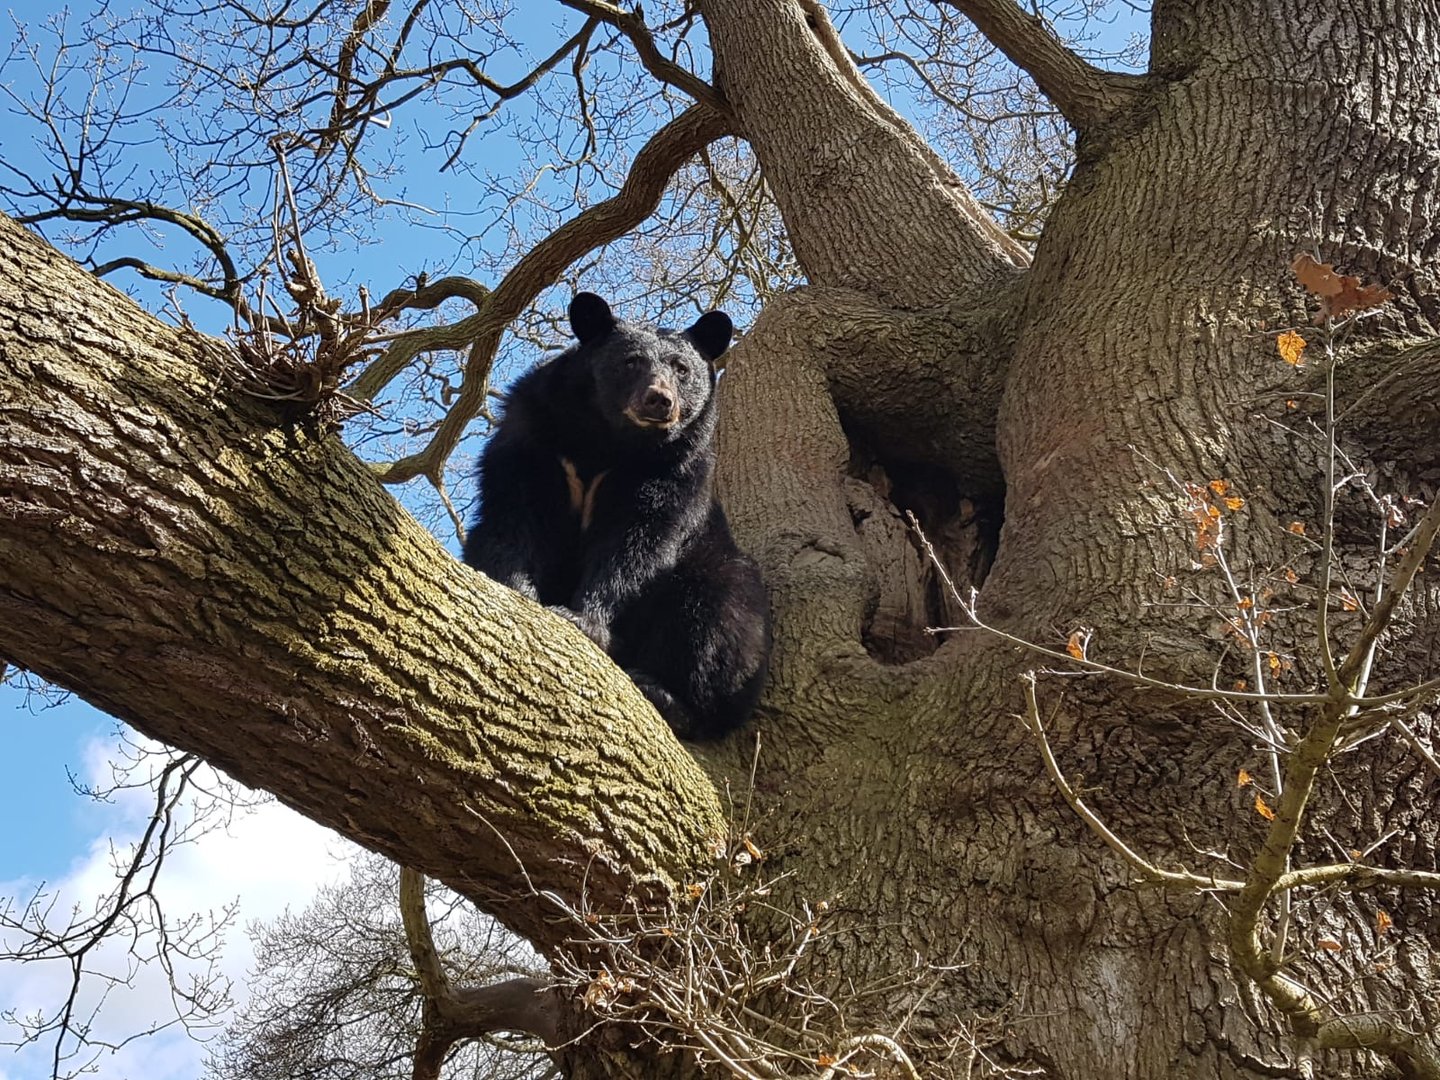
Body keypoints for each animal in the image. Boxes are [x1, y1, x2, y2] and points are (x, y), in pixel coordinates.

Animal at [463, 292, 771, 741]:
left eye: (681, 370)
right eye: (631, 362)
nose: (660, 400)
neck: (610, 441)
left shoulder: (674, 471)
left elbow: (635, 545)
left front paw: (581, 619)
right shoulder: (534, 436)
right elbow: (516, 517)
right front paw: (519, 591)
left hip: (727, 585)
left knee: (716, 620)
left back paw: (666, 695)